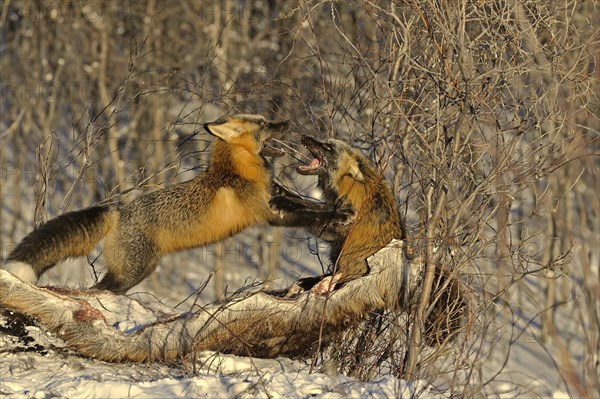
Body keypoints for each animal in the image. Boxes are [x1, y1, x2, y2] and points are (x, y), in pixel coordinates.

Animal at [3, 115, 352, 294]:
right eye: (265, 124)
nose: (287, 121)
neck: (242, 171)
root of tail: (119, 211)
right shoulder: (270, 214)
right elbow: (308, 215)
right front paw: (341, 215)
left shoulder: (278, 196)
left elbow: (310, 206)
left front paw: (340, 211)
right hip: (131, 272)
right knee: (97, 290)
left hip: (139, 271)